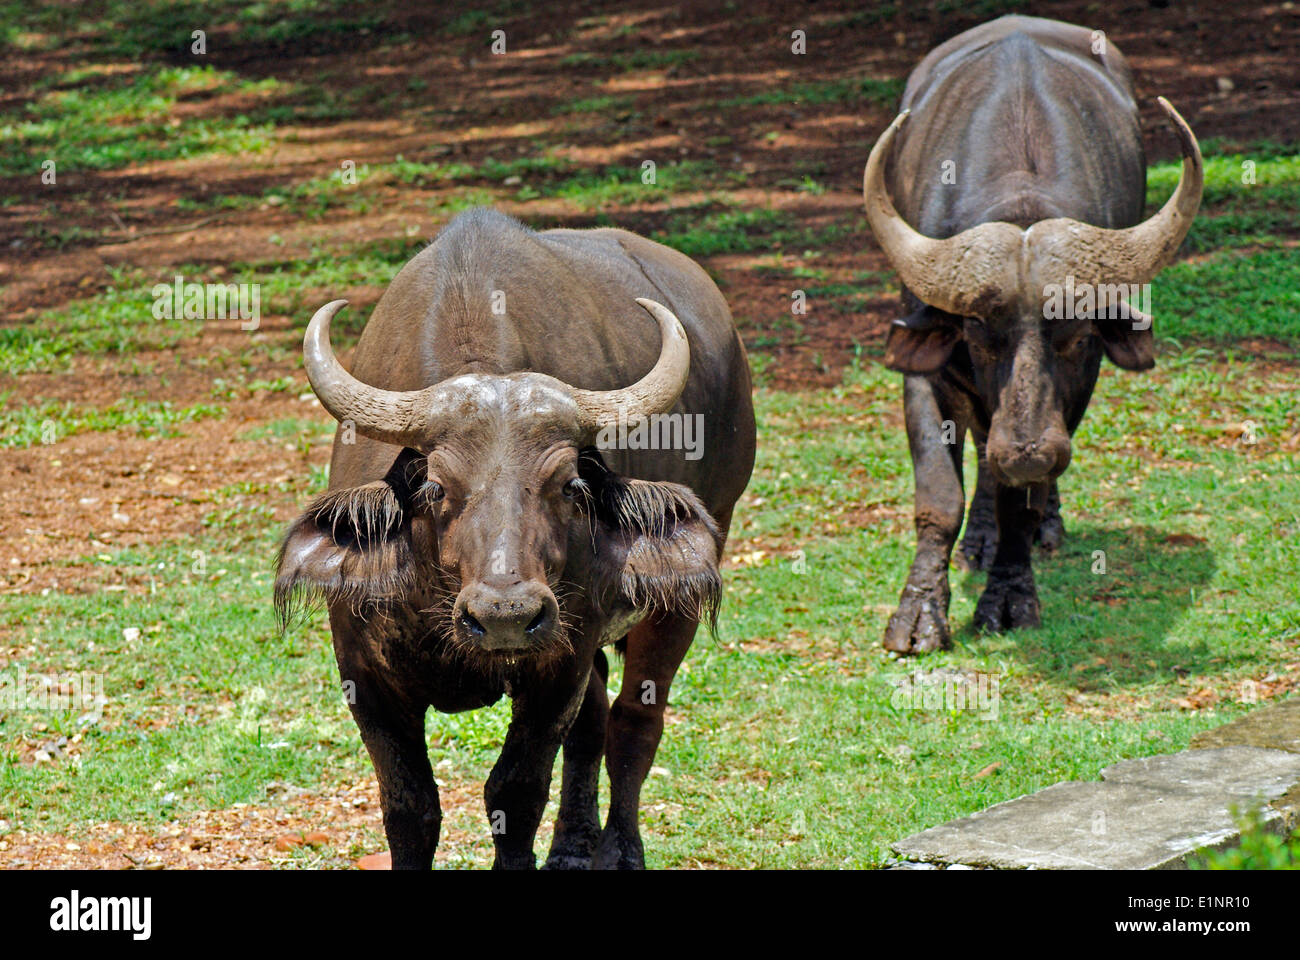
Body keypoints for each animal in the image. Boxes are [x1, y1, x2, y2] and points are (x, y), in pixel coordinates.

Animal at [278, 209, 759, 868]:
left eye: (570, 485)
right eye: (434, 487)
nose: (505, 614)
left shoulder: (557, 666)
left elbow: (515, 792)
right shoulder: (365, 676)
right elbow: (409, 807)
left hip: (678, 591)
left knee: (634, 723)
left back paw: (620, 849)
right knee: (595, 723)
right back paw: (573, 845)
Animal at [857, 16, 1201, 650]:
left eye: (1077, 334)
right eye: (976, 332)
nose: (1028, 452)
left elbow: (1019, 501)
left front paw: (1010, 595)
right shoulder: (926, 374)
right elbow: (940, 498)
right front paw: (918, 615)